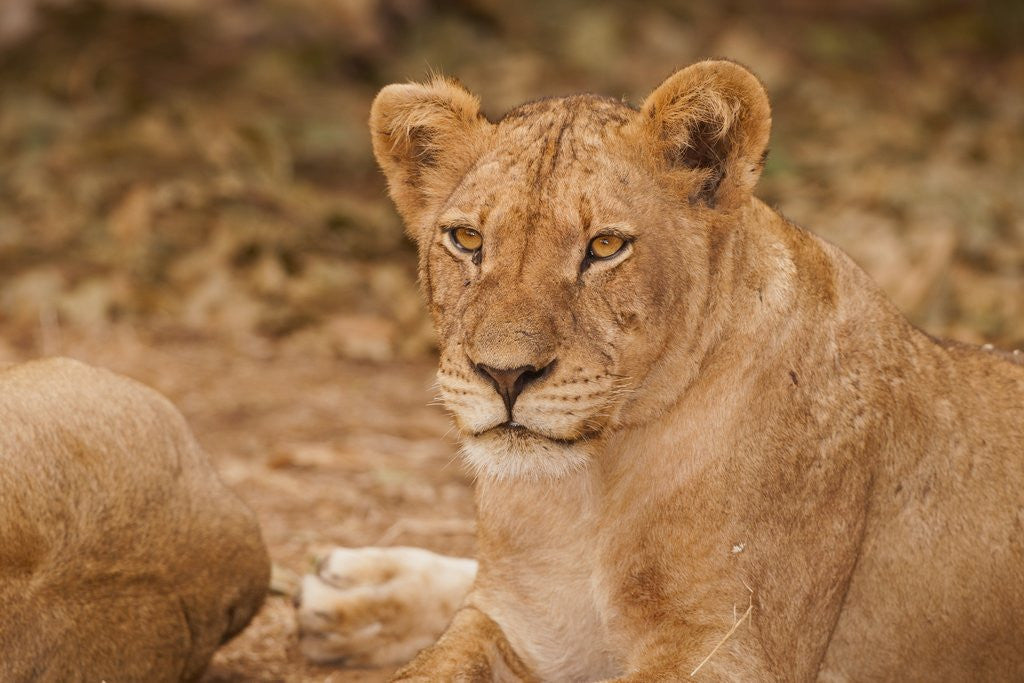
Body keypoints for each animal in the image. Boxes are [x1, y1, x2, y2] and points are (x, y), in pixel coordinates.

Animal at [298, 60, 1024, 680]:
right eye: (467, 239)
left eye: (604, 246)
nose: (504, 375)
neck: (585, 494)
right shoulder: (519, 623)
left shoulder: (730, 647)